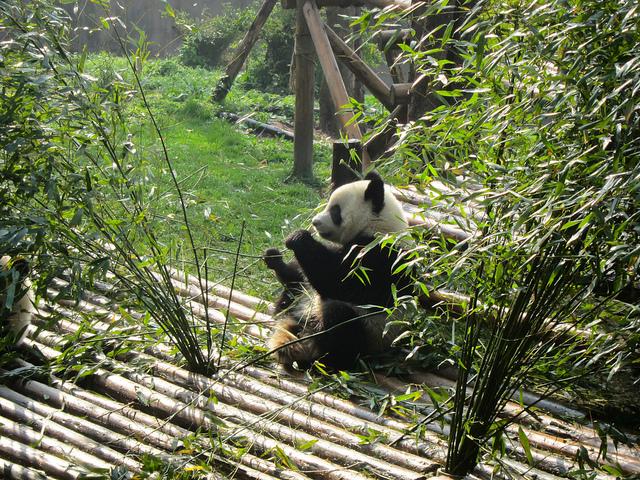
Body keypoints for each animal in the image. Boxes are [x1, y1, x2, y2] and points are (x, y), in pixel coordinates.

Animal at [263, 172, 413, 370]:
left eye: (335, 211)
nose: (315, 222)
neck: (378, 225)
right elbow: (302, 274)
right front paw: (275, 258)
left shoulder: (381, 257)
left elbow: (337, 281)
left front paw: (297, 237)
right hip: (303, 306)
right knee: (293, 297)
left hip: (371, 333)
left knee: (340, 318)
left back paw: (330, 359)